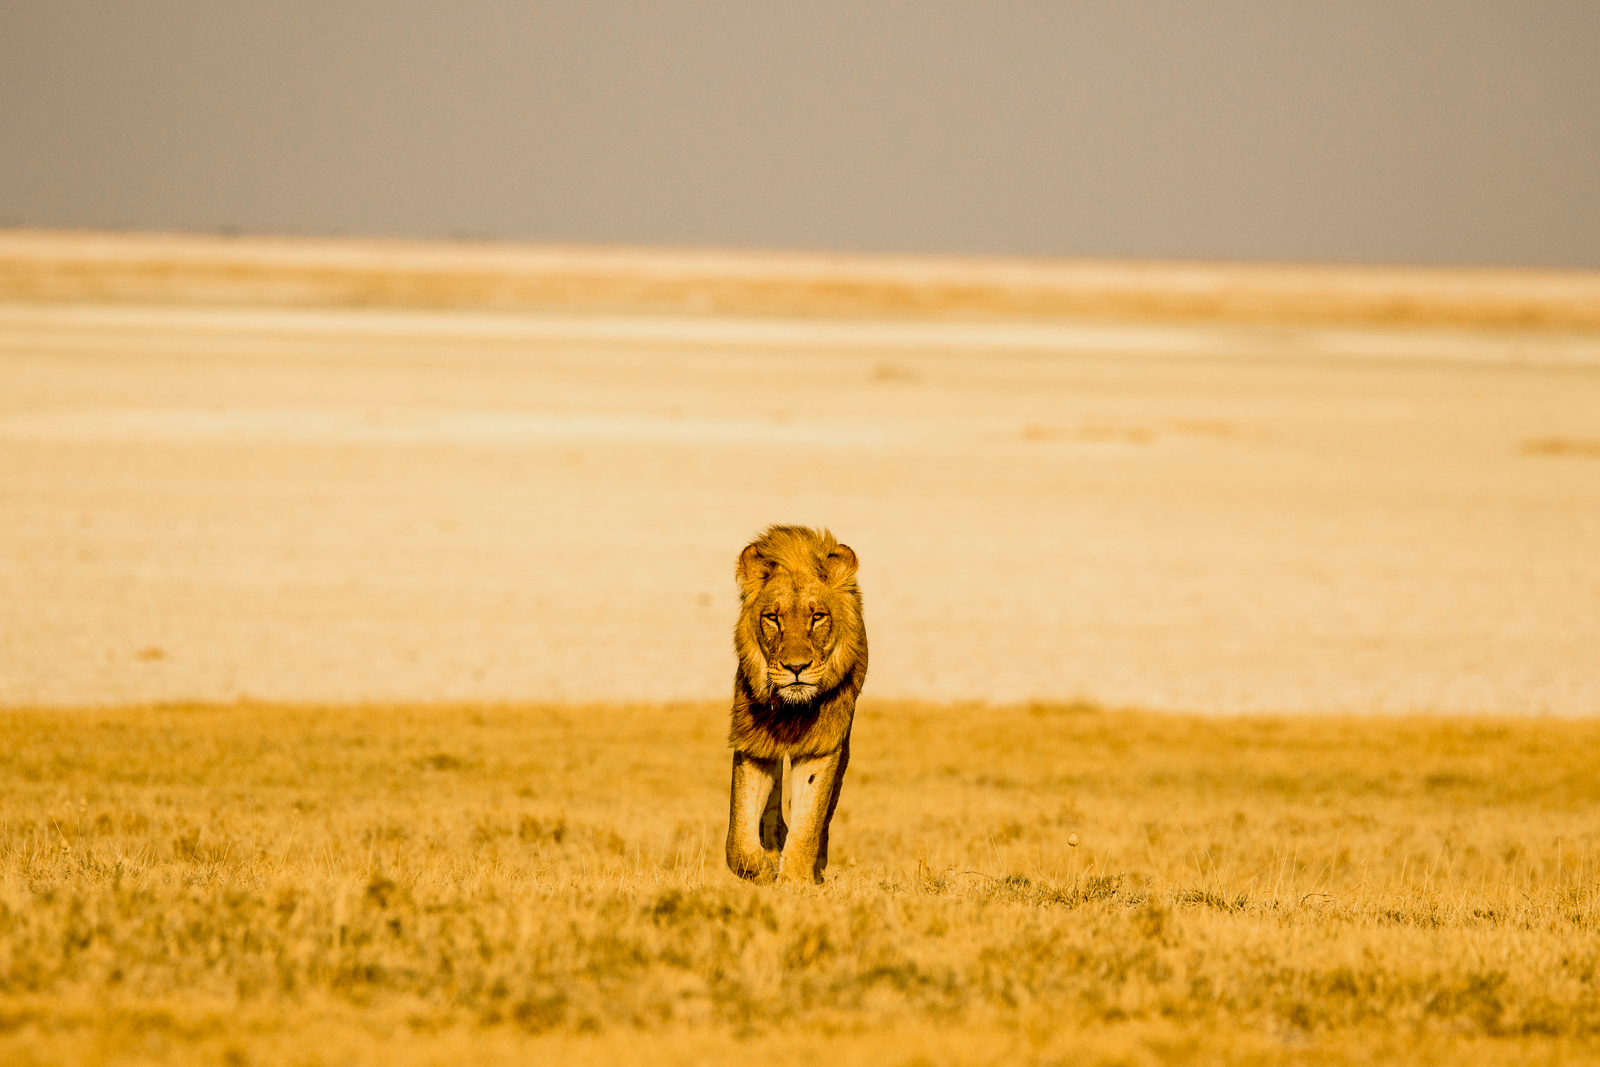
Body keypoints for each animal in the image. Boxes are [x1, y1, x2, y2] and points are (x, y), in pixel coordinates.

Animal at [725, 525, 867, 884]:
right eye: (772, 618)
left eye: (817, 617)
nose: (796, 667)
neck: (792, 709)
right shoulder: (754, 741)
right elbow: (739, 834)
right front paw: (762, 867)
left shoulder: (822, 743)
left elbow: (810, 820)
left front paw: (797, 879)